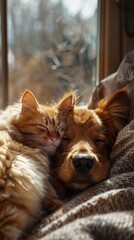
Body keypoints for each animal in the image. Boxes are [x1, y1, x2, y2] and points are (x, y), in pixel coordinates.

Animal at [0, 90, 76, 240]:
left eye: (60, 128)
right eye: (43, 127)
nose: (55, 138)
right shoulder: (42, 176)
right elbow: (51, 194)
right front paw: (58, 205)